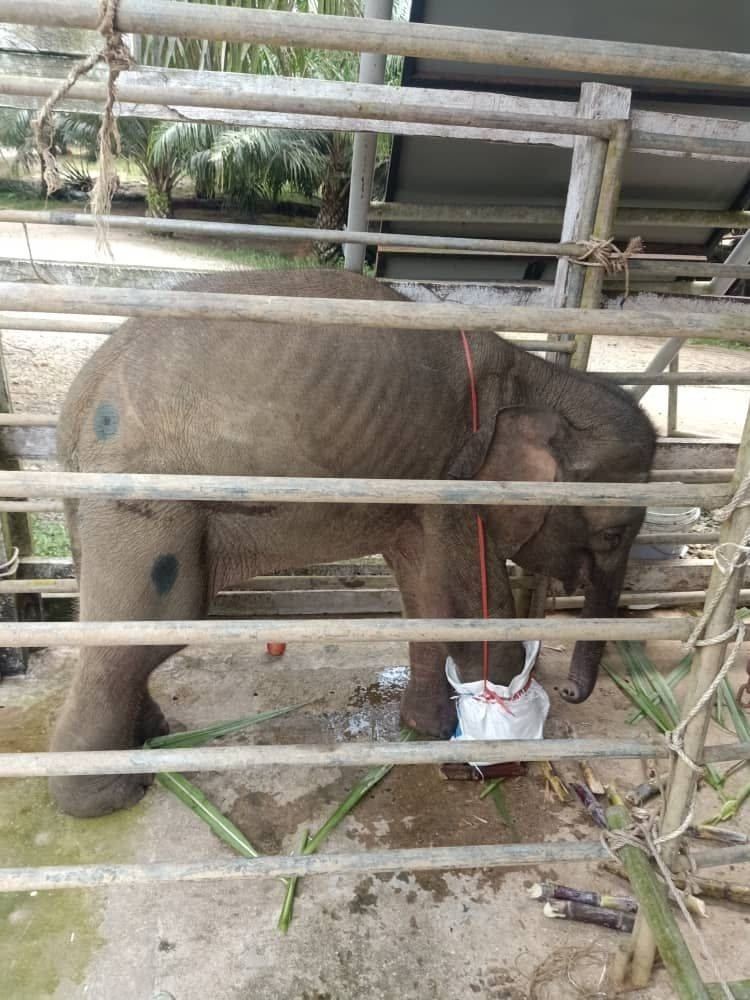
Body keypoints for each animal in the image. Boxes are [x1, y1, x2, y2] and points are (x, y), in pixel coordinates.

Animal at [49, 268, 656, 817]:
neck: (535, 376)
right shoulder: (458, 476)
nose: (572, 693)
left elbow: (427, 593)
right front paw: (496, 741)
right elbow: (471, 600)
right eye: (612, 533)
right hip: (148, 506)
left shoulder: (421, 482)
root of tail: (79, 401)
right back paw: (111, 795)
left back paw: (149, 739)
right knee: (146, 632)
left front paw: (426, 730)